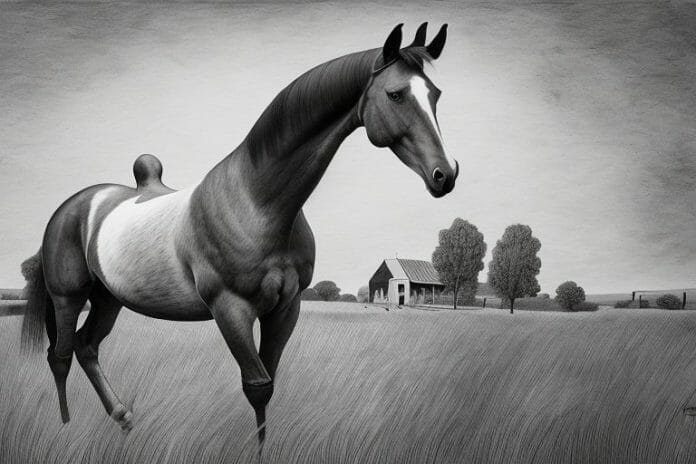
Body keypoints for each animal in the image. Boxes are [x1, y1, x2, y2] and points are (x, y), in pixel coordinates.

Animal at [20, 22, 458, 452]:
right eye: (396, 94)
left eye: (435, 94)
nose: (445, 175)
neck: (255, 201)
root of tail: (75, 205)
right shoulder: (230, 309)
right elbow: (257, 386)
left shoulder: (285, 308)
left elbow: (270, 383)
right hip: (68, 296)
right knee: (60, 356)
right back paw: (65, 428)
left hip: (109, 298)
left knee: (86, 347)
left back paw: (123, 418)